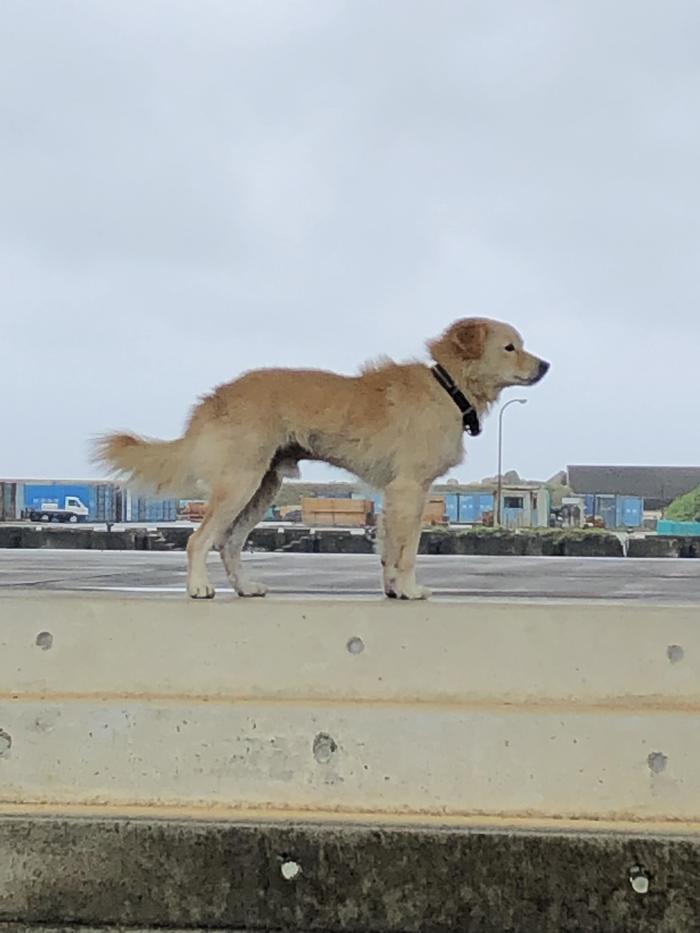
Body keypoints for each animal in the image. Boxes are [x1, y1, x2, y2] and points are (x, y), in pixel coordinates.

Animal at [95, 318, 548, 596]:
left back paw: (245, 587)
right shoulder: (410, 489)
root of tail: (213, 400)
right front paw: (408, 588)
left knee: (229, 543)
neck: (448, 387)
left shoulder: (396, 494)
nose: (545, 365)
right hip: (240, 484)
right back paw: (198, 587)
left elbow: (389, 547)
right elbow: (407, 549)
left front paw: (392, 589)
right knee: (198, 540)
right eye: (510, 347)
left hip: (262, 488)